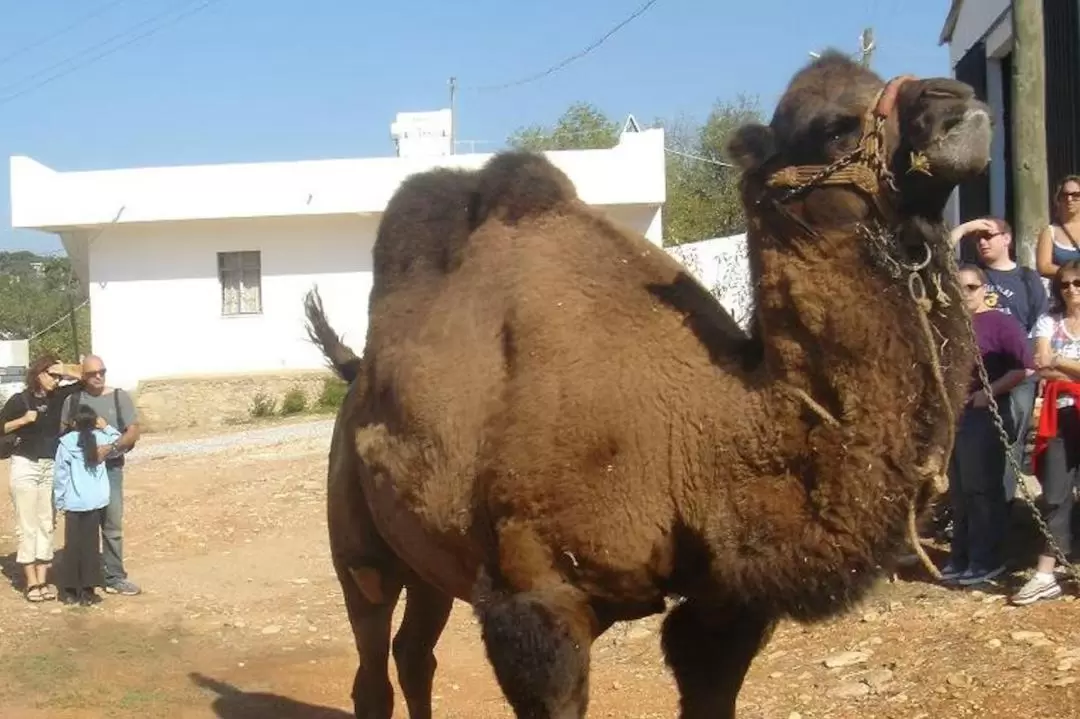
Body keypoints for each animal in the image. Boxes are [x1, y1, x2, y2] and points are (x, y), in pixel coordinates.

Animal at [302, 50, 989, 716]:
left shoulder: (724, 605)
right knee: (373, 655)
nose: (956, 99)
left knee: (415, 652)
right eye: (833, 126)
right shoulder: (535, 600)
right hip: (361, 552)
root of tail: (357, 377)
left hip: (430, 561)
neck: (706, 436)